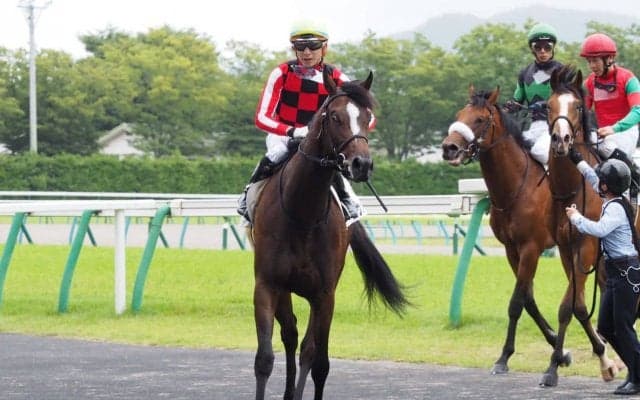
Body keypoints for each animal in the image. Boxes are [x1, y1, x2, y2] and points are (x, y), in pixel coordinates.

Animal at [248, 69, 408, 400]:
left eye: (367, 116)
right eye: (334, 116)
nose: (361, 164)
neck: (303, 215)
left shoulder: (324, 294)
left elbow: (315, 357)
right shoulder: (267, 285)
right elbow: (265, 358)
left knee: (313, 354)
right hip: (285, 291)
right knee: (290, 334)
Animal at [441, 86, 559, 377]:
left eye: (480, 119)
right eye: (459, 114)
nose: (449, 148)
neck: (518, 187)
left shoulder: (531, 248)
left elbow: (516, 303)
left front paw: (504, 357)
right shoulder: (511, 249)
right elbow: (527, 299)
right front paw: (557, 345)